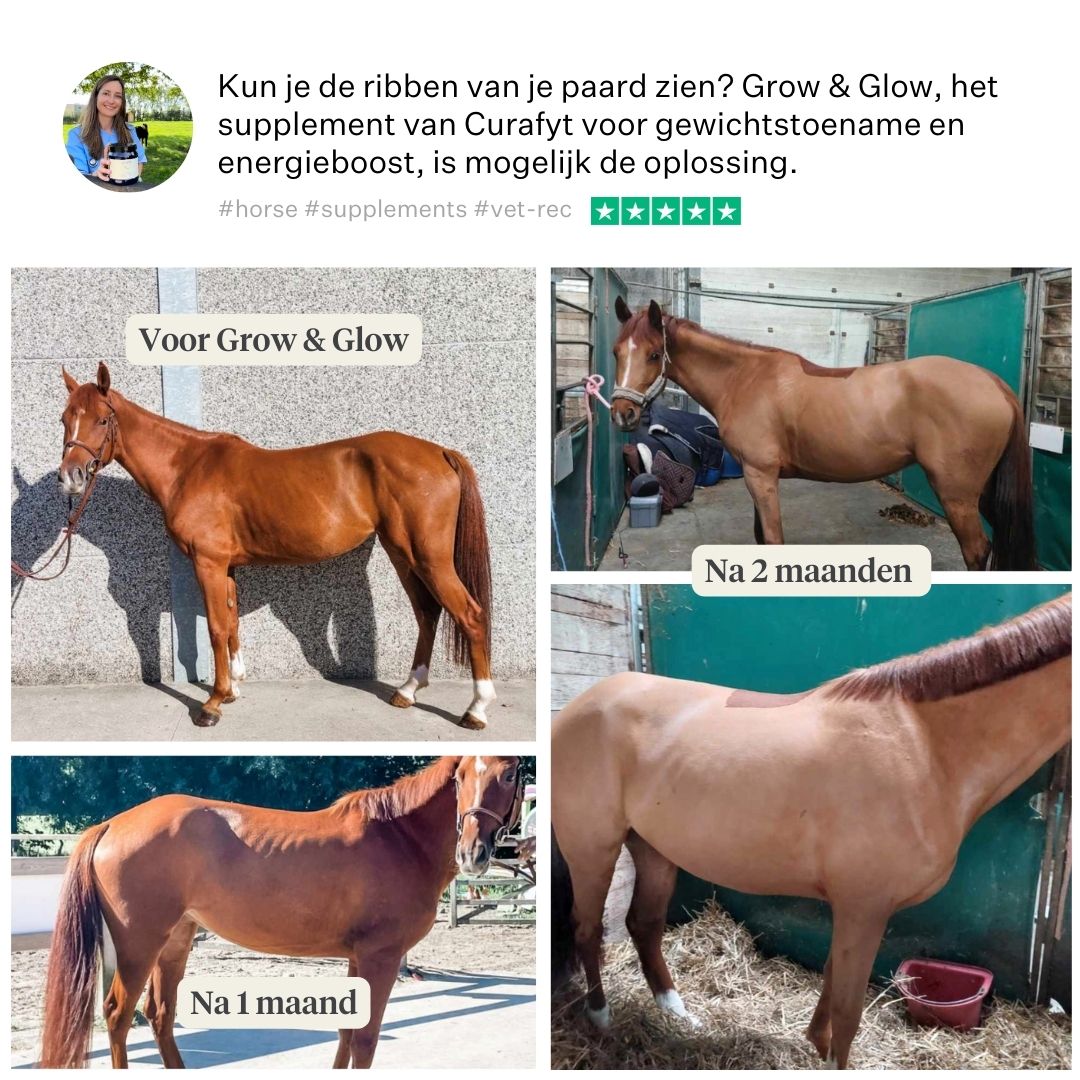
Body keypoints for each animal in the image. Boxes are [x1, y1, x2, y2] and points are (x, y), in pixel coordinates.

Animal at [39, 755, 525, 1069]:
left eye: (509, 772)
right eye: (460, 776)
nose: (473, 852)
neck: (399, 837)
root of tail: (111, 824)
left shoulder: (358, 957)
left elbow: (347, 1032)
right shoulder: (381, 958)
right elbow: (365, 1039)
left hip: (175, 940)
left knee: (160, 1014)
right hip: (140, 944)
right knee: (118, 1016)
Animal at [52, 363, 494, 728]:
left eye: (103, 419)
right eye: (65, 419)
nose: (71, 477)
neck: (188, 468)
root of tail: (440, 452)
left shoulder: (208, 563)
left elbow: (215, 628)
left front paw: (212, 704)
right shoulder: (226, 566)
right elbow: (231, 623)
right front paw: (232, 688)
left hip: (429, 557)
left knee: (470, 616)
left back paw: (476, 709)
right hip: (403, 554)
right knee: (428, 613)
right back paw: (407, 691)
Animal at [552, 596, 1070, 1069]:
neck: (925, 746)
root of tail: (579, 706)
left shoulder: (854, 910)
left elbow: (832, 980)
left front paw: (816, 1043)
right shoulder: (865, 908)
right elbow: (848, 1011)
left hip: (654, 849)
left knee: (644, 924)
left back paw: (678, 1013)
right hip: (592, 847)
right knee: (588, 926)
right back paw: (600, 1017)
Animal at [609, 298, 1037, 570]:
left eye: (653, 354)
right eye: (617, 351)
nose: (623, 413)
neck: (744, 379)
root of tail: (994, 383)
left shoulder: (761, 475)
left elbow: (774, 541)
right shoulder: (755, 475)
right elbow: (762, 538)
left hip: (956, 493)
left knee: (976, 550)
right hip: (982, 493)